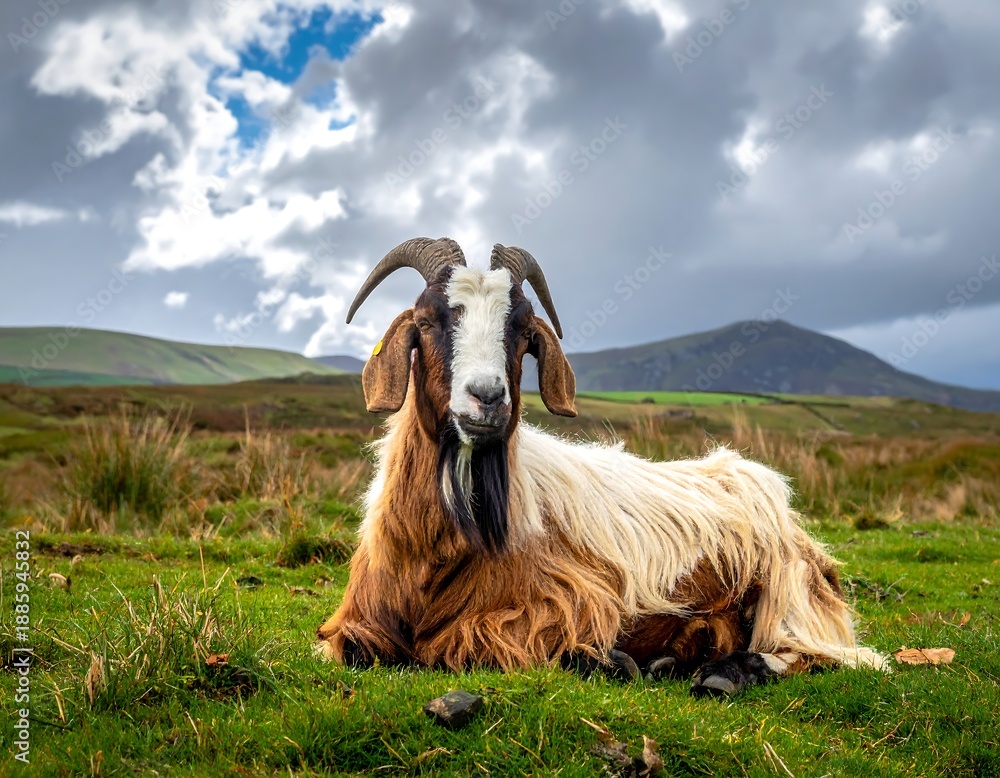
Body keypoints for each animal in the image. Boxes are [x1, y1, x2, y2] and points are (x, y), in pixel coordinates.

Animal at [317, 237, 887, 695]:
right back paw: (674, 659)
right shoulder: (356, 622)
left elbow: (470, 645)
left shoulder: (570, 599)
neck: (436, 550)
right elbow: (358, 649)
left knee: (827, 654)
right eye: (427, 320)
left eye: (522, 331)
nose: (488, 398)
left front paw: (606, 659)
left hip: (789, 591)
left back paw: (724, 672)